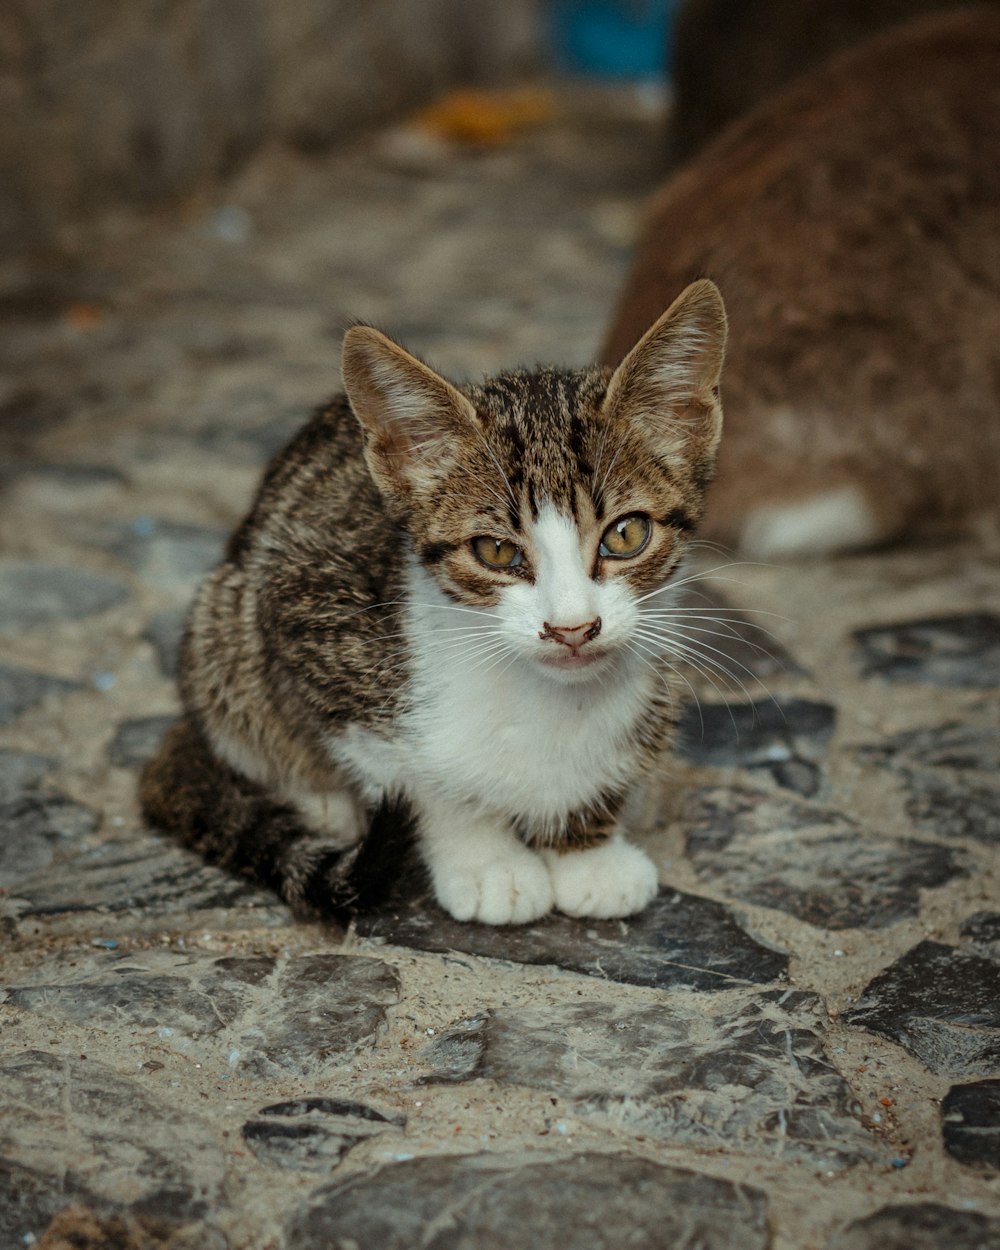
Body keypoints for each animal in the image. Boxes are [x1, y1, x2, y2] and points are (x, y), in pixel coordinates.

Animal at [140, 283, 725, 930]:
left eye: (626, 534)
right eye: (496, 550)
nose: (571, 628)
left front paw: (585, 853)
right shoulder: (307, 620)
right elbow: (420, 779)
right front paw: (487, 860)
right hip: (224, 622)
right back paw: (321, 805)